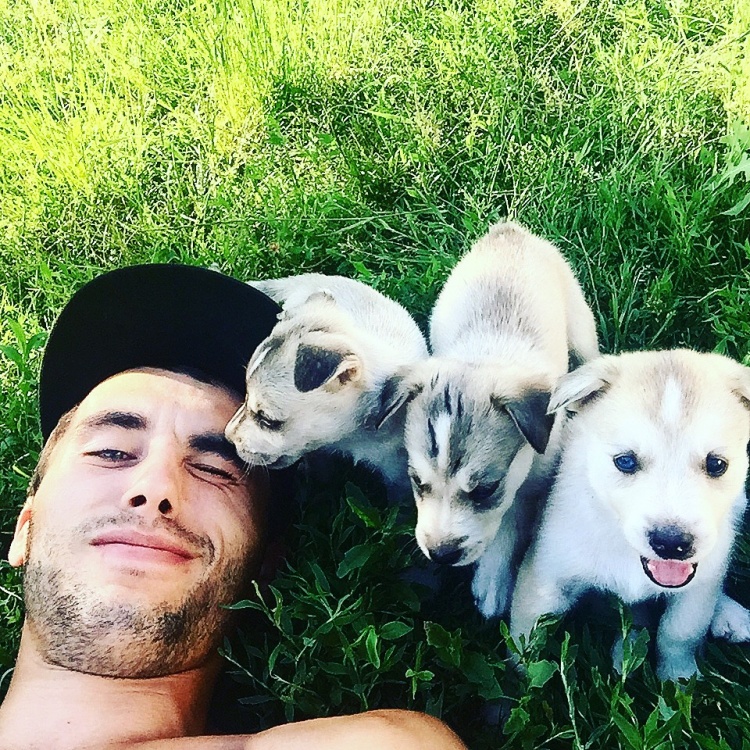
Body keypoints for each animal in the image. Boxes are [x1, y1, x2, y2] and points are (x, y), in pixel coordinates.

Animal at [225, 273, 428, 492]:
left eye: (268, 420)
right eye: (245, 396)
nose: (227, 437)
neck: (350, 437)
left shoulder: (397, 471)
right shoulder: (319, 451)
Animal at [377, 221, 599, 617]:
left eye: (484, 490)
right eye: (417, 482)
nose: (441, 554)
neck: (484, 357)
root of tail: (508, 231)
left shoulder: (531, 485)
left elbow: (509, 519)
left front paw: (492, 582)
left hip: (581, 326)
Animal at [509, 349, 750, 680]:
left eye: (716, 464)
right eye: (625, 461)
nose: (671, 543)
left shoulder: (697, 589)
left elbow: (680, 633)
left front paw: (678, 677)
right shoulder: (546, 575)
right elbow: (528, 637)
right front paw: (522, 677)